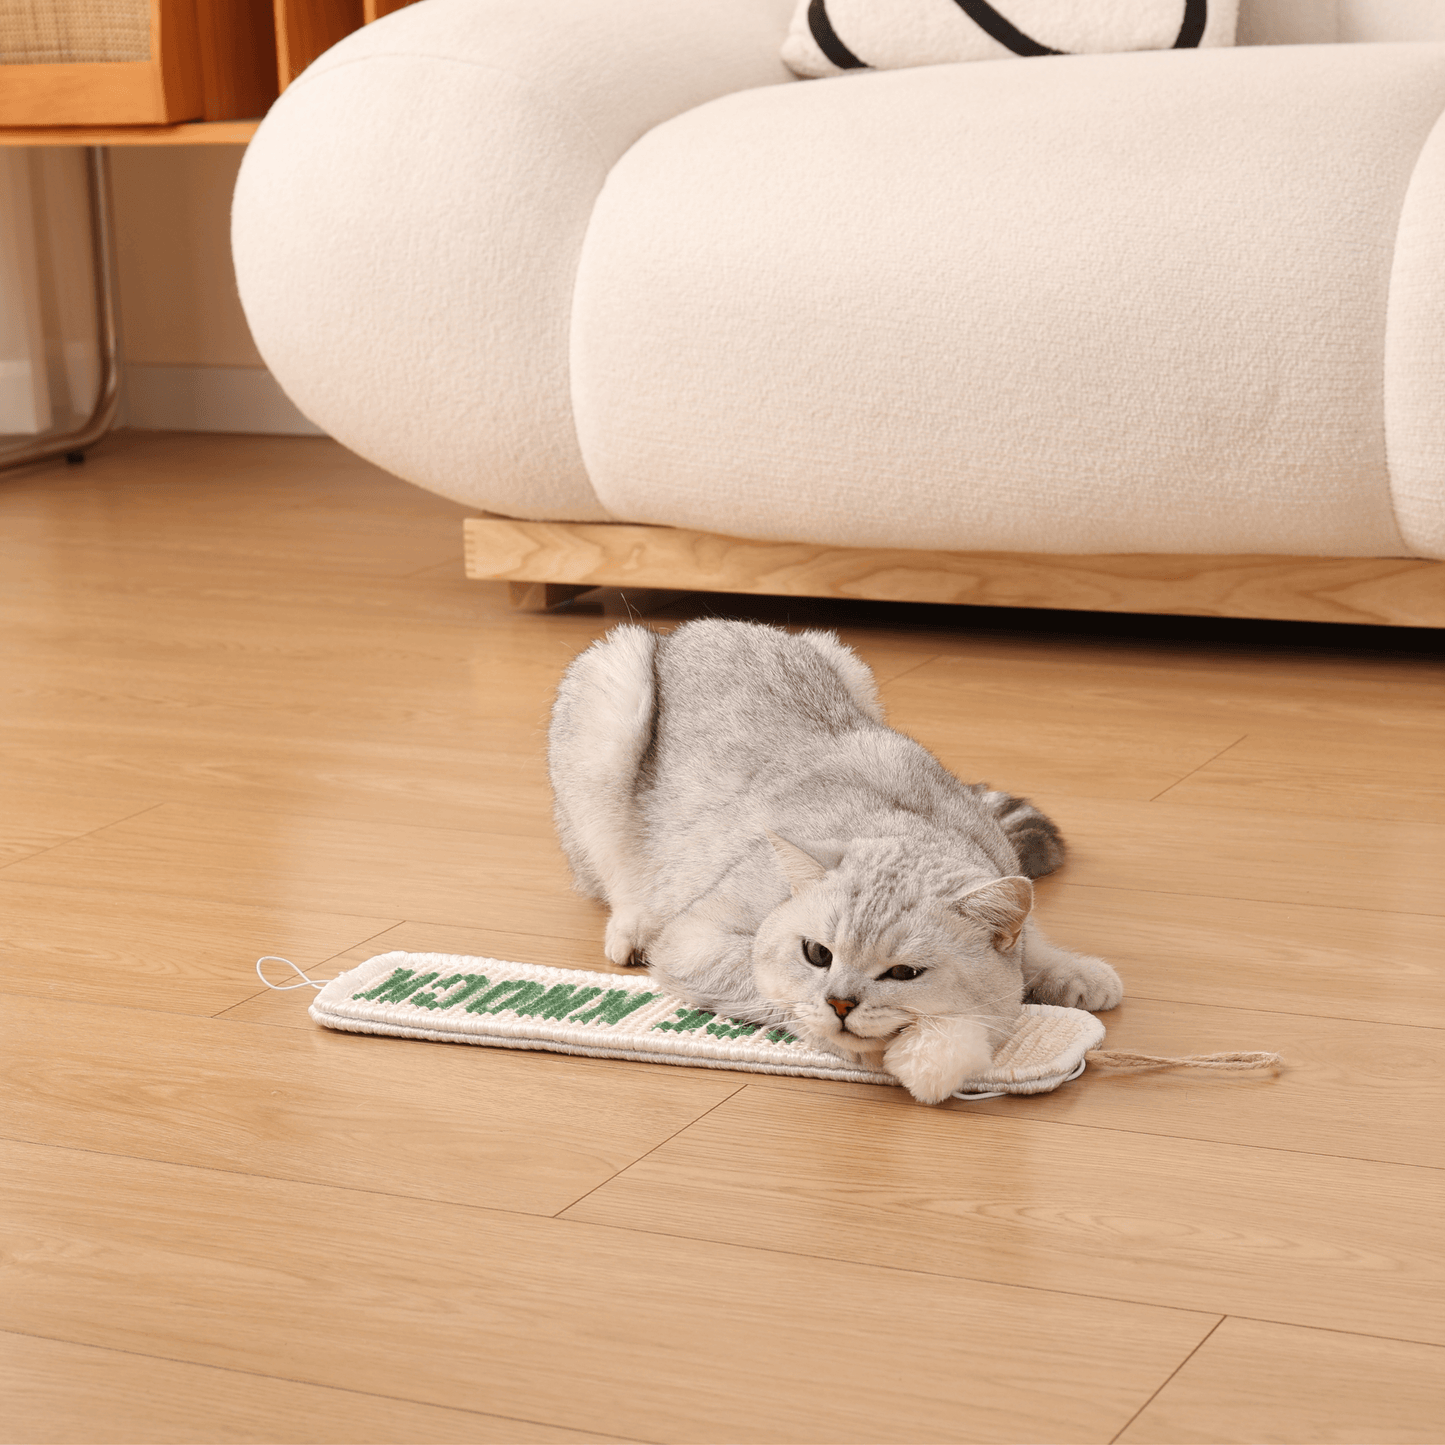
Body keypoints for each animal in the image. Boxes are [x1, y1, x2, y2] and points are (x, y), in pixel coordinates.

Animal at [546, 615, 1121, 1098]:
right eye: (817, 954)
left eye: (903, 972)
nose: (841, 1004)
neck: (901, 825)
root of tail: (681, 630)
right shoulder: (696, 938)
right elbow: (774, 986)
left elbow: (1033, 938)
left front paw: (1072, 974)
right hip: (612, 702)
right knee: (614, 878)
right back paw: (631, 927)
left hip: (849, 665)